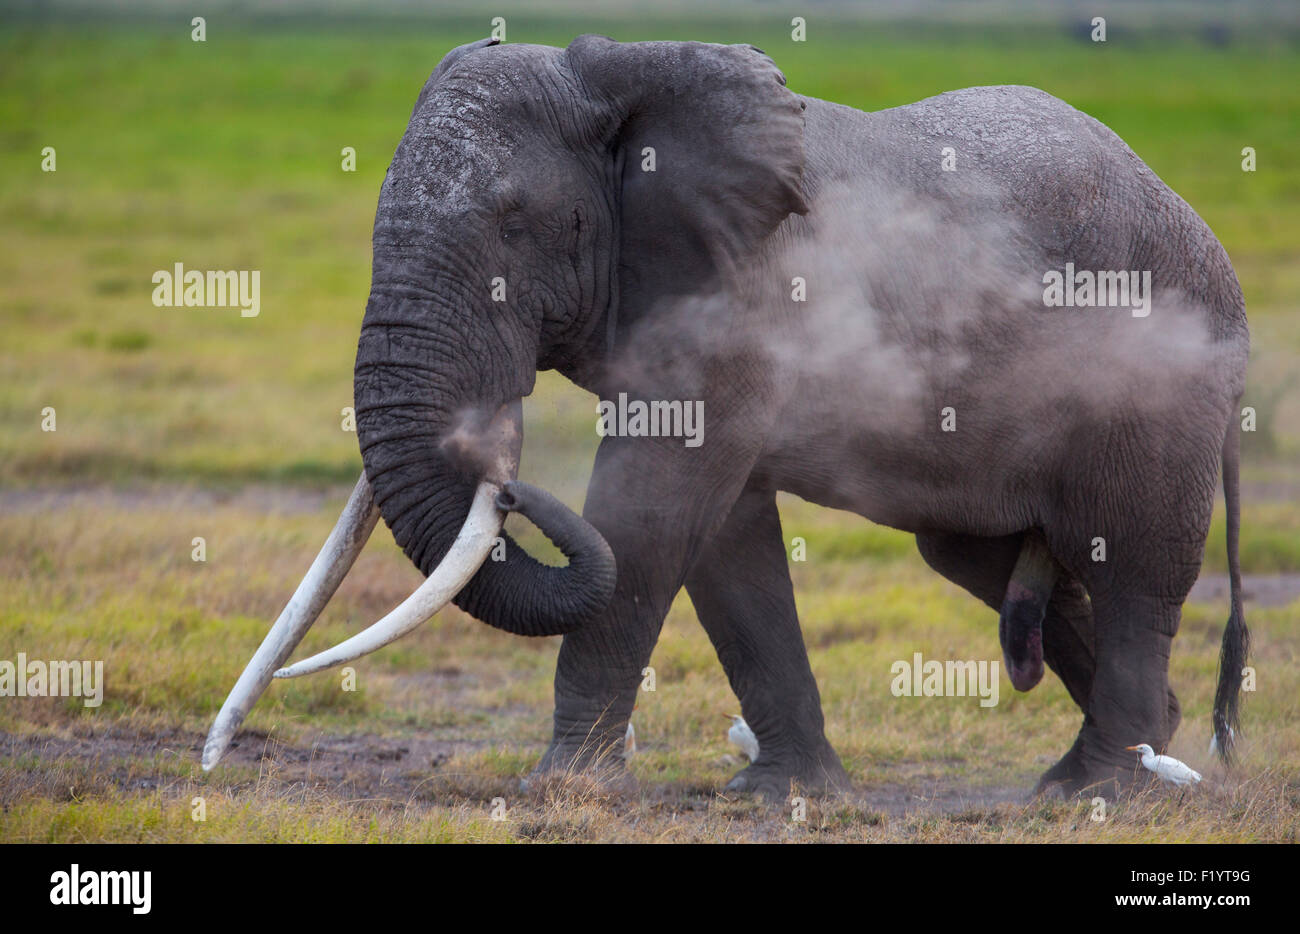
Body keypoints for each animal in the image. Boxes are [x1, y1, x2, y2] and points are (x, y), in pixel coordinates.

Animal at [204, 35, 1250, 800]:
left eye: (513, 220)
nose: (504, 481)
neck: (619, 72)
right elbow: (723, 542)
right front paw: (787, 795)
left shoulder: (741, 298)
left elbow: (651, 509)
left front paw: (560, 790)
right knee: (985, 562)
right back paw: (1124, 754)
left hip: (1161, 381)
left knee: (1134, 566)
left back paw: (1098, 790)